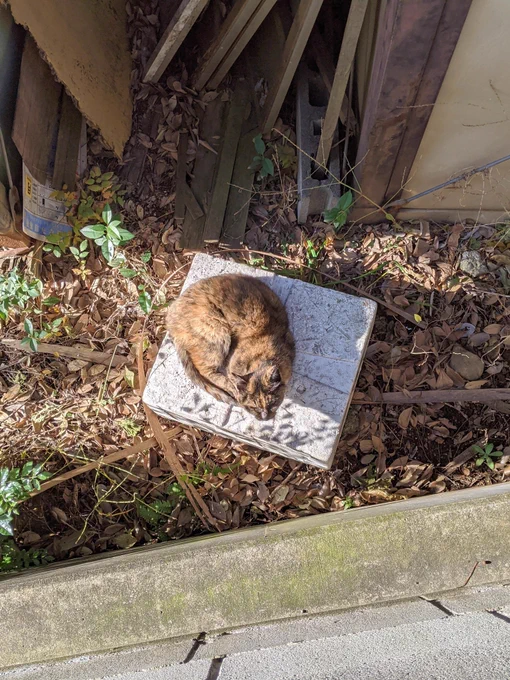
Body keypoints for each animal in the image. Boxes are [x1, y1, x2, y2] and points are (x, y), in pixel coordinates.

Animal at [166, 274, 294, 418]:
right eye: (254, 406)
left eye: (272, 404)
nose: (264, 416)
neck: (261, 358)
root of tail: (170, 324)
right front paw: (236, 390)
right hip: (218, 332)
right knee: (205, 370)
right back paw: (231, 389)